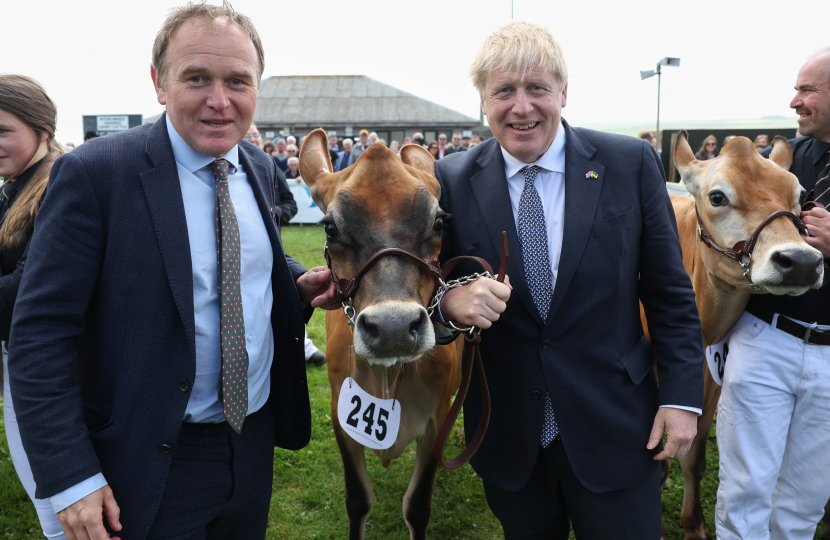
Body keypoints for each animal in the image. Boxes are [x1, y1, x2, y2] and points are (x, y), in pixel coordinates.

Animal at [640, 132, 824, 540]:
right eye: (717, 197)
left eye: (800, 194)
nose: (802, 262)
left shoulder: (709, 378)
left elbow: (693, 456)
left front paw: (694, 524)